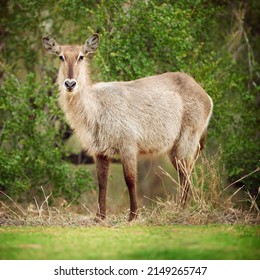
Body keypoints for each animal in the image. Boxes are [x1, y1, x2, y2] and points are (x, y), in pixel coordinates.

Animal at [42, 33, 213, 221]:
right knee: (185, 176)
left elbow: (130, 180)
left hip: (186, 143)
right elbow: (102, 182)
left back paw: (180, 210)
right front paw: (99, 217)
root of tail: (204, 93)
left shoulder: (128, 146)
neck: (96, 106)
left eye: (81, 56)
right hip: (174, 149)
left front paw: (132, 216)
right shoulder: (99, 151)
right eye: (61, 56)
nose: (70, 84)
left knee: (186, 176)